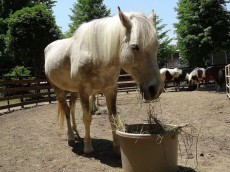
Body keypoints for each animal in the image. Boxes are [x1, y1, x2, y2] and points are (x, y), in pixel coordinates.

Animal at [44, 6, 164, 155]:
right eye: (134, 47)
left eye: (156, 46)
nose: (155, 89)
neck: (96, 55)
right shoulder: (84, 91)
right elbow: (87, 117)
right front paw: (88, 147)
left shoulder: (110, 89)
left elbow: (112, 117)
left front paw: (117, 147)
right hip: (58, 89)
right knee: (66, 110)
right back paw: (71, 137)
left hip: (74, 91)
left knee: (71, 108)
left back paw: (77, 132)